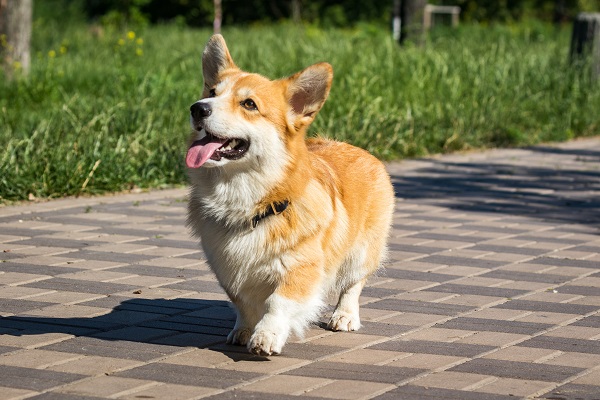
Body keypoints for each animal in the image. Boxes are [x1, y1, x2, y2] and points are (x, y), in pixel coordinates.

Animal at [185, 32, 396, 354]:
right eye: (211, 92)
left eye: (249, 104)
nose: (197, 107)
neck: (249, 201)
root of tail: (355, 147)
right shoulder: (227, 270)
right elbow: (242, 304)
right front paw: (243, 330)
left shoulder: (299, 268)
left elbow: (278, 303)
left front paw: (266, 336)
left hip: (362, 251)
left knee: (353, 284)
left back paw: (345, 316)